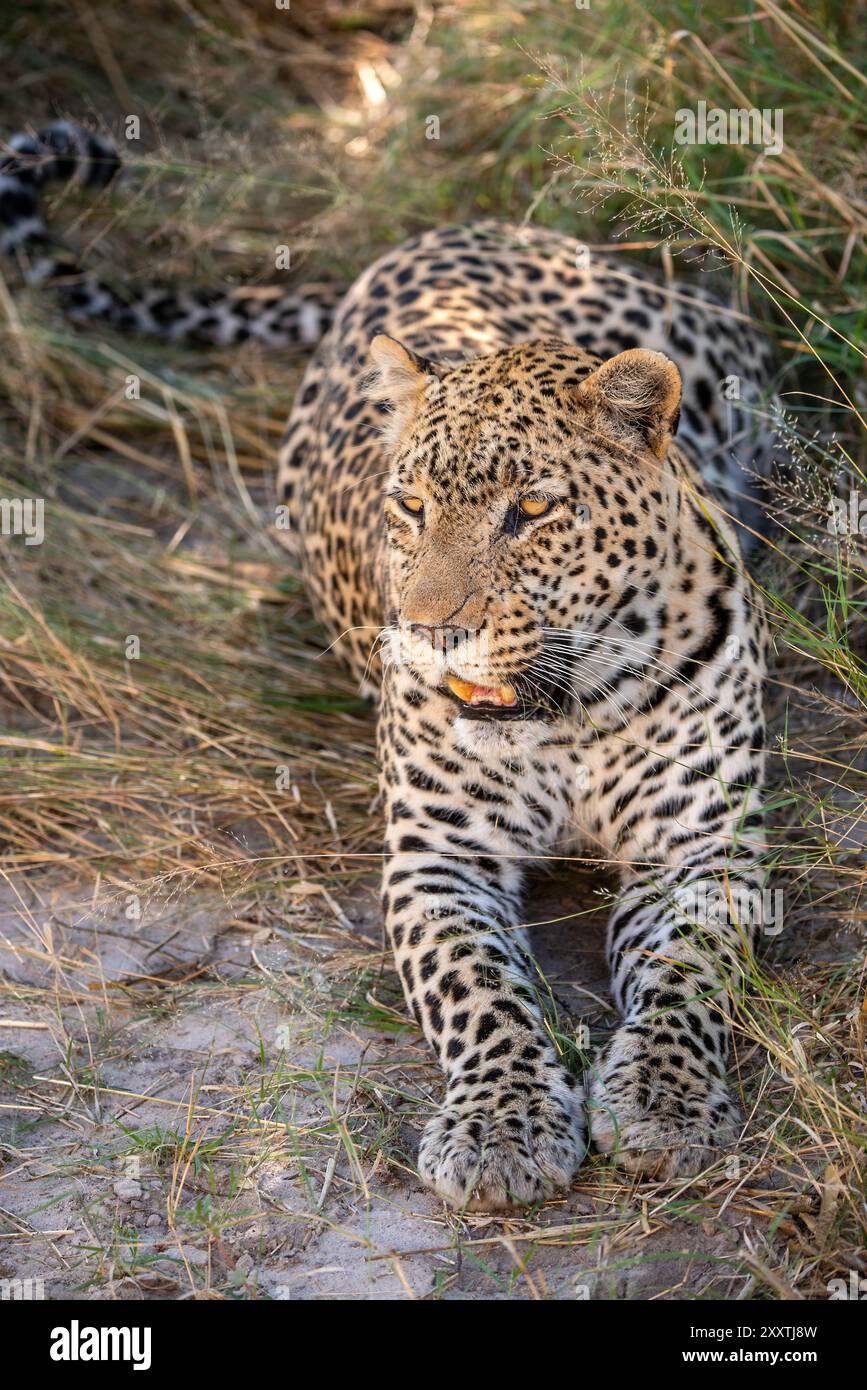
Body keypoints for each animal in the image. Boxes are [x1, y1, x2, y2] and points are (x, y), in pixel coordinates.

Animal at [3, 119, 778, 1212]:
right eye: (407, 505)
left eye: (531, 510)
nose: (425, 631)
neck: (568, 709)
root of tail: (440, 235)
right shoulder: (437, 861)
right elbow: (481, 992)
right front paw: (501, 1125)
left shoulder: (704, 848)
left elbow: (687, 980)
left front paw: (665, 1106)